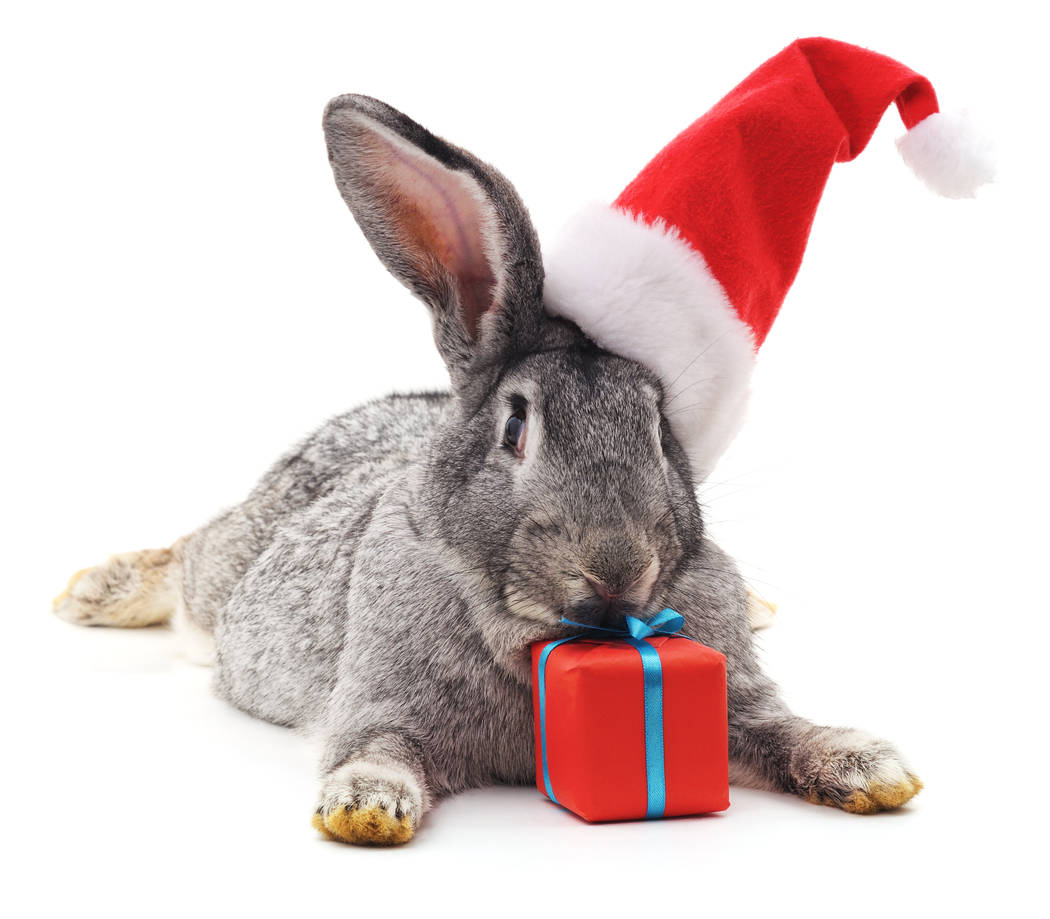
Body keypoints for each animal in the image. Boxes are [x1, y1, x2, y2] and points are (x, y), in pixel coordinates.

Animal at [53, 93, 919, 848]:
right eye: (515, 427)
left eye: (658, 427)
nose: (617, 566)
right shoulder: (380, 695)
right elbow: (375, 744)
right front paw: (365, 809)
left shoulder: (737, 696)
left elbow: (777, 726)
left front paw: (873, 767)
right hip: (226, 566)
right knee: (187, 555)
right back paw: (90, 591)